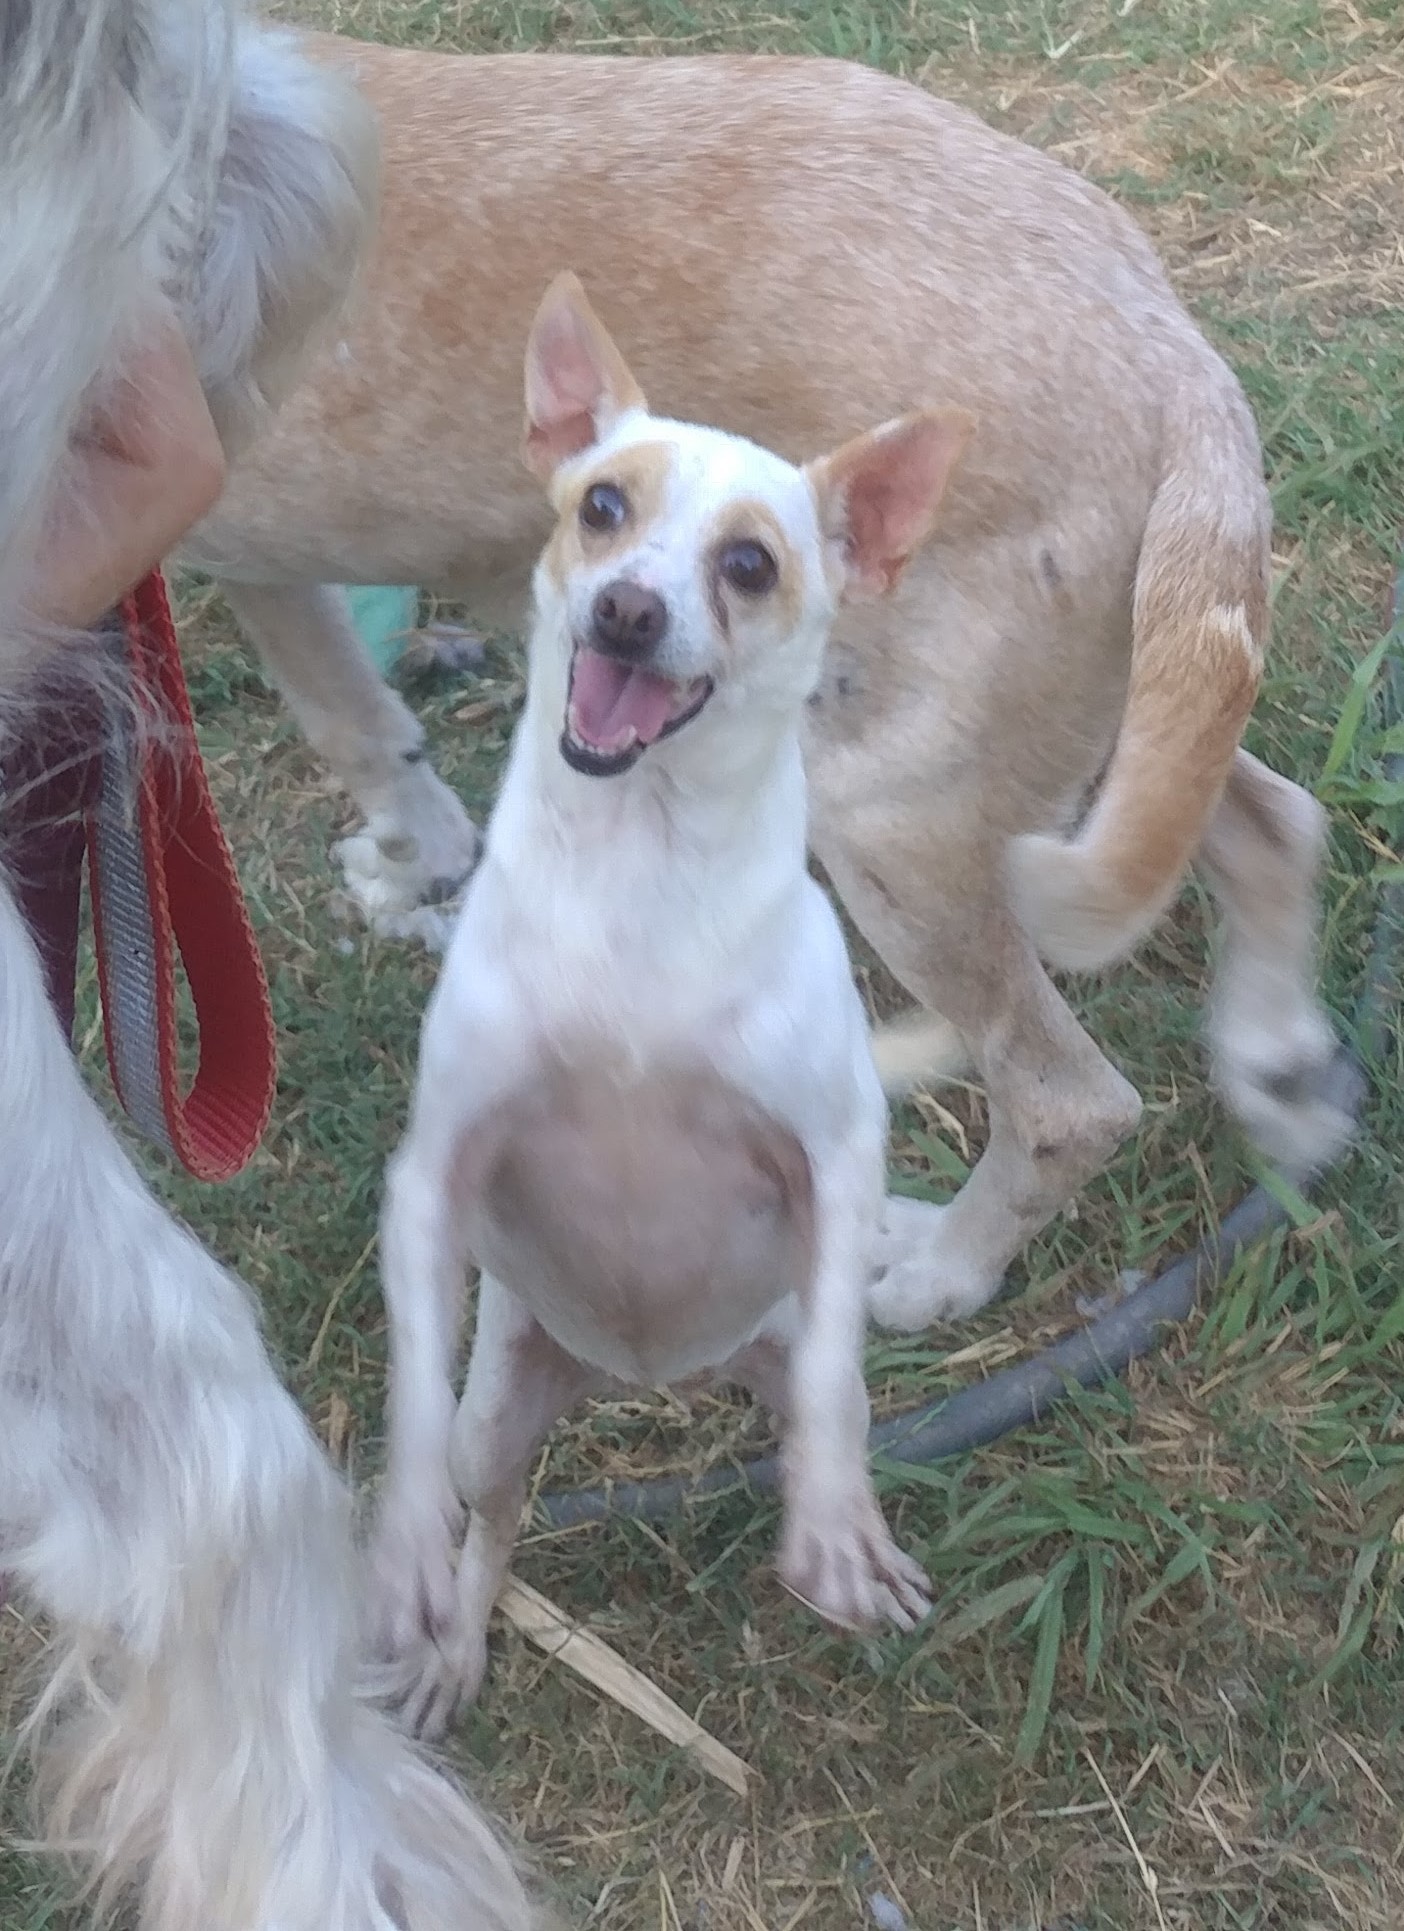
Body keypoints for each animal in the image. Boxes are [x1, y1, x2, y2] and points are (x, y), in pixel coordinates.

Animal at [192, 34, 1359, 1328]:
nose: (625, 609)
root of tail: (1172, 349)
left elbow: (334, 713)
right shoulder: (258, 558)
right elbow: (355, 715)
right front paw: (417, 857)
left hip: (893, 825)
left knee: (1068, 1098)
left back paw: (941, 1269)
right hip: (1110, 727)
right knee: (1273, 820)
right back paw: (1277, 1064)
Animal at [368, 272, 973, 1737]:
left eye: (750, 563)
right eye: (602, 506)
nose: (629, 609)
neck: (638, 872)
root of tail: (649, 1372)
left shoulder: (833, 1155)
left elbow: (840, 1391)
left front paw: (836, 1532)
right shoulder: (433, 1179)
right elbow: (408, 1400)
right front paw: (403, 1552)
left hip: (787, 1330)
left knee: (816, 1395)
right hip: (500, 1408)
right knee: (495, 1509)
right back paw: (454, 1640)